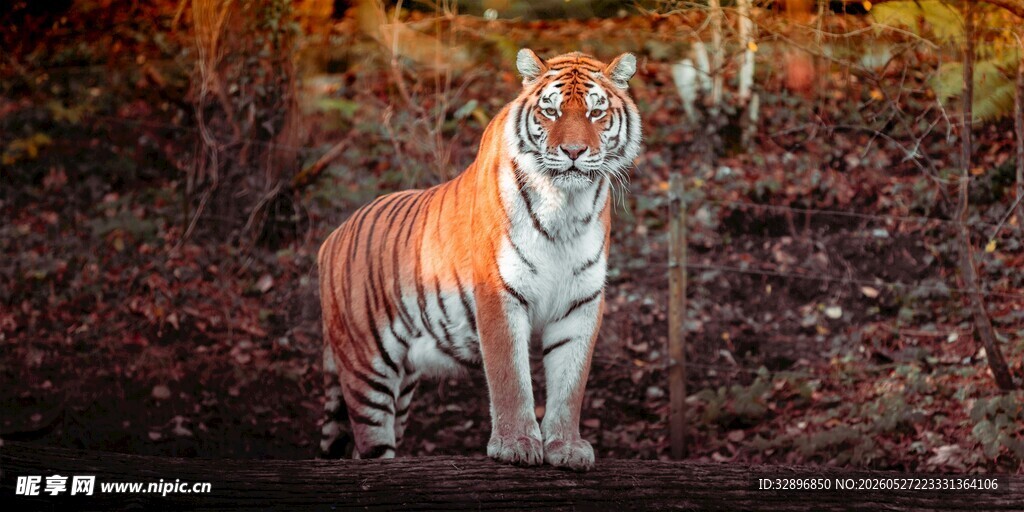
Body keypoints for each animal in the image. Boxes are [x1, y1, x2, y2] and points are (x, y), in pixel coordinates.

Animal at [318, 49, 641, 471]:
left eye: (596, 112)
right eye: (551, 111)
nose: (573, 152)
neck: (565, 208)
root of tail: (331, 238)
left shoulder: (581, 303)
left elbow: (570, 384)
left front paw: (566, 447)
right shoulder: (499, 292)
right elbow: (510, 378)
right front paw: (516, 444)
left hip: (403, 385)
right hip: (366, 367)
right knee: (368, 445)